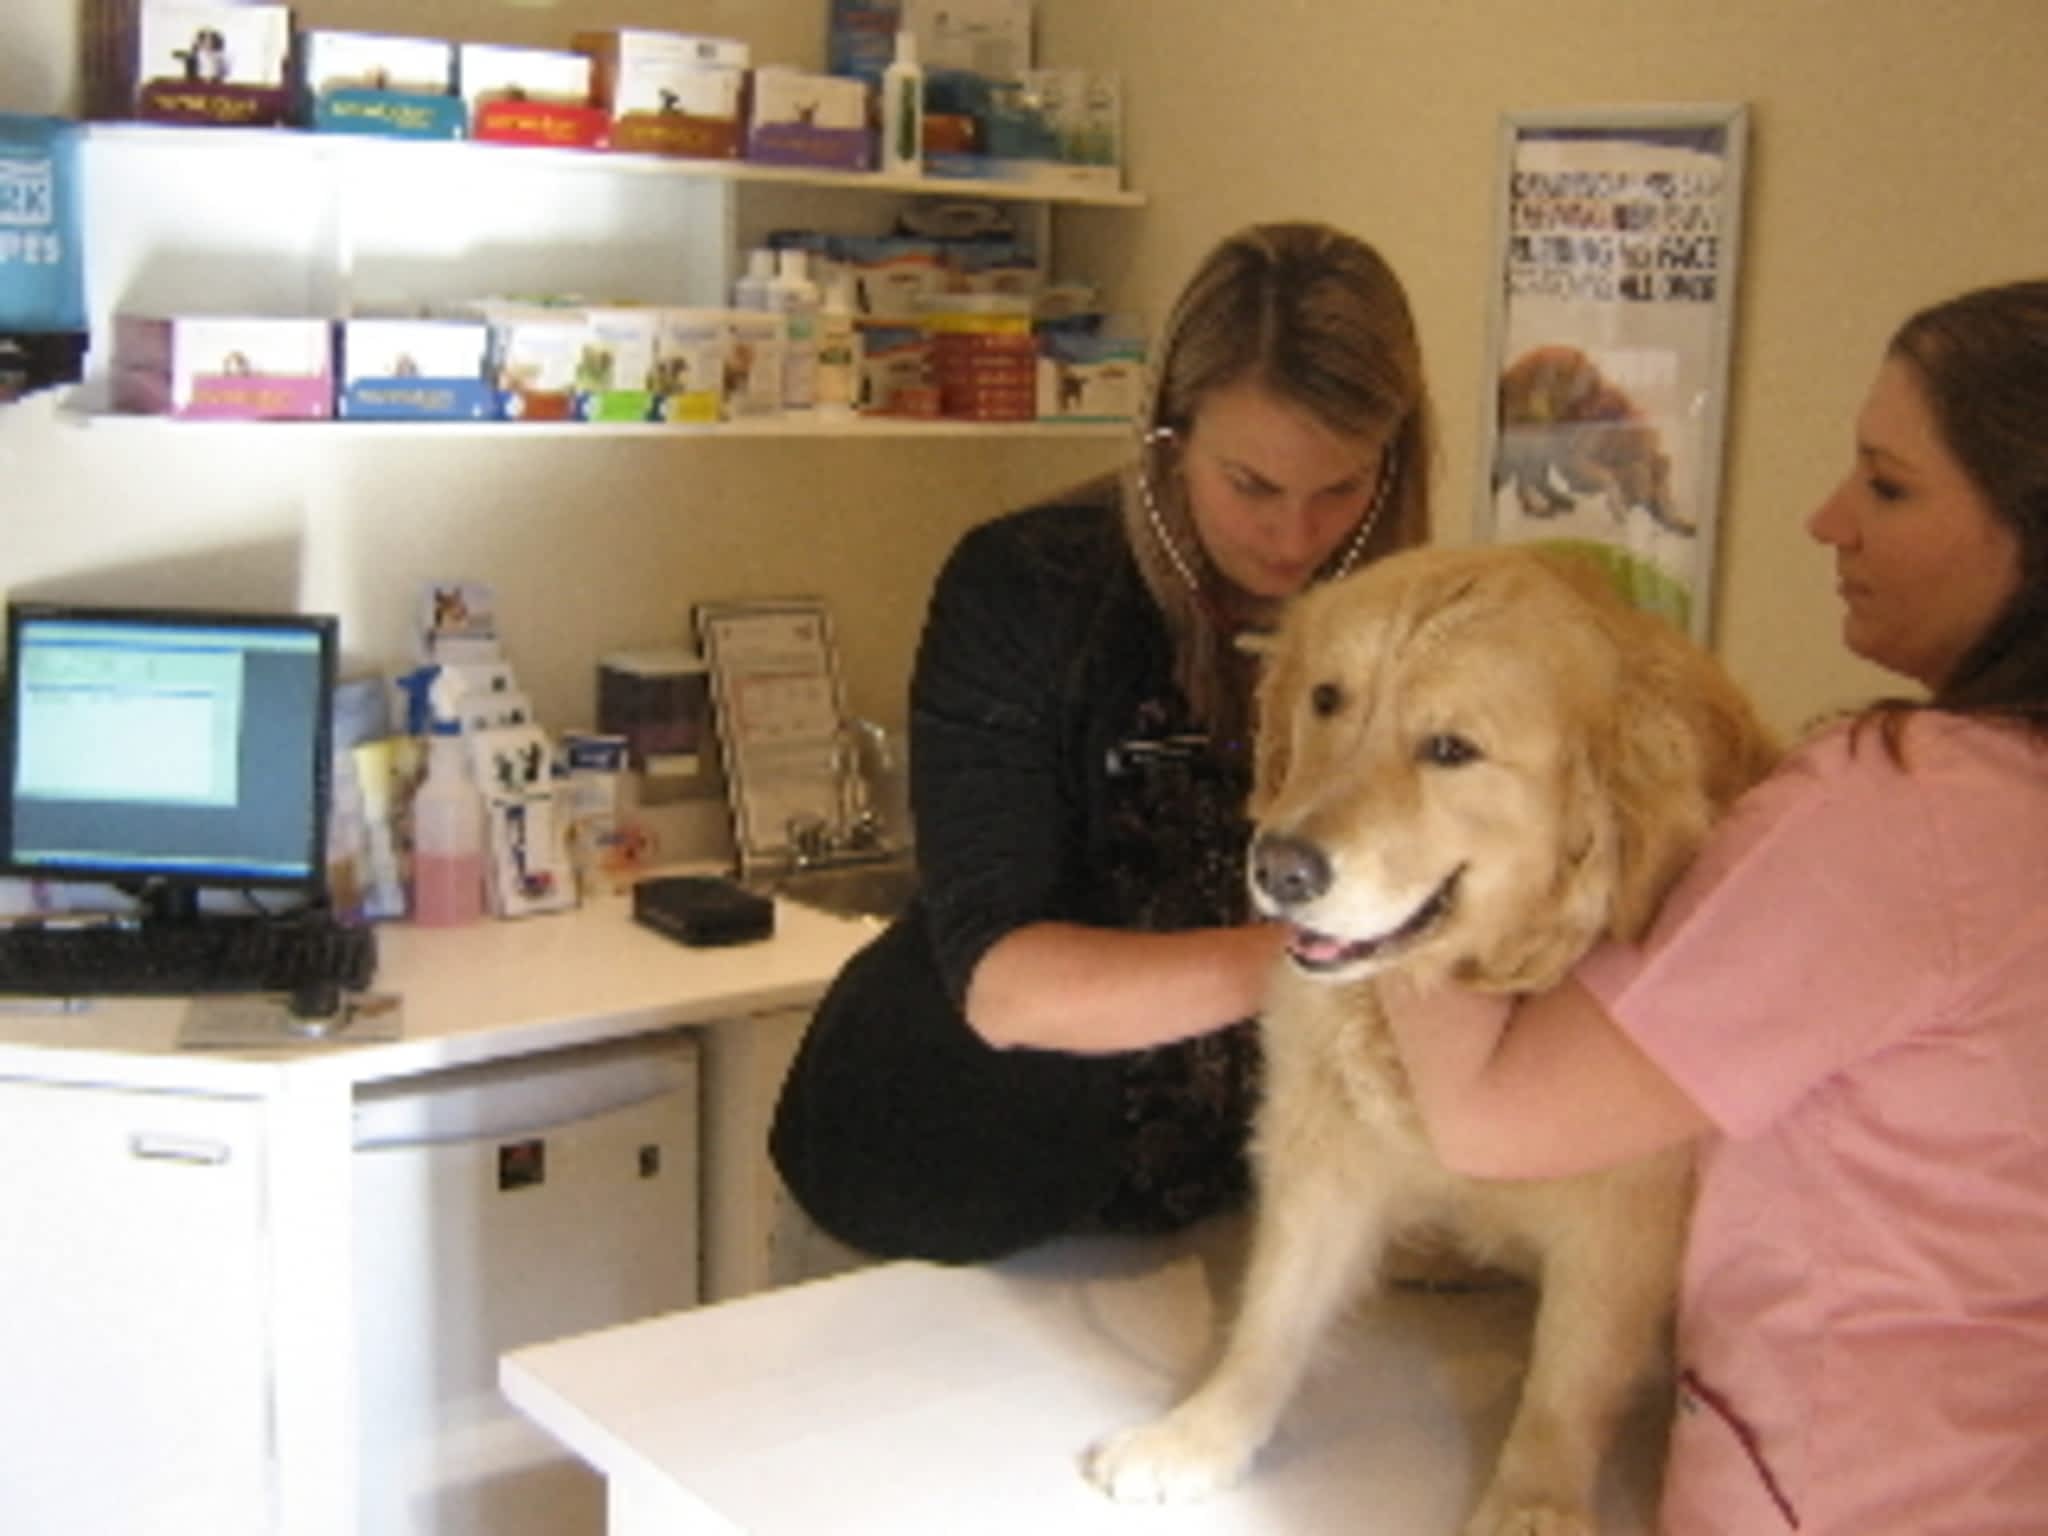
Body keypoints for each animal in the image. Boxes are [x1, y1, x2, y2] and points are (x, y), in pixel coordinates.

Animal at [1089, 548, 1777, 1531]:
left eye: (1451, 749)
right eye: (1327, 698)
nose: (1280, 868)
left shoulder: (1625, 1217)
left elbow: (1568, 1379)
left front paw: (1534, 1501)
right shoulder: (1321, 1147)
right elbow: (1275, 1312)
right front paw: (1203, 1434)